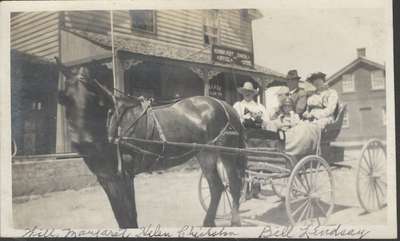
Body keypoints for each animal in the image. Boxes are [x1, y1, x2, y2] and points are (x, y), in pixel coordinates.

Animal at [54, 58, 247, 228]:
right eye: (65, 99)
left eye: (96, 98)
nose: (82, 143)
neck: (113, 126)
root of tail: (224, 104)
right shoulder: (106, 178)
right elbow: (120, 216)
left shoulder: (125, 175)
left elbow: (130, 215)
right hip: (205, 154)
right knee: (217, 186)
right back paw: (211, 222)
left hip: (227, 152)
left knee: (234, 184)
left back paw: (233, 221)